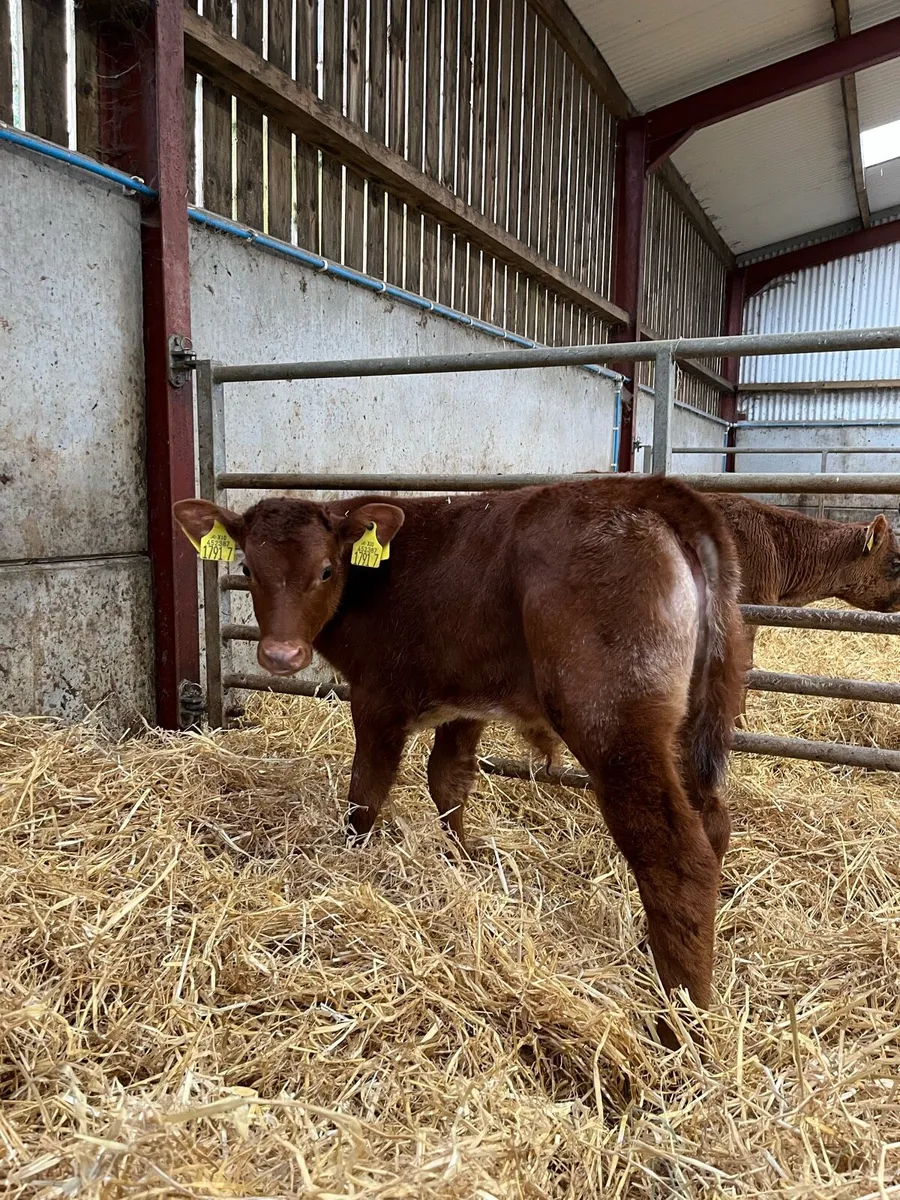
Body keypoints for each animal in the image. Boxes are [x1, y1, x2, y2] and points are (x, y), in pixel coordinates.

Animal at [174, 477, 745, 1029]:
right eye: (247, 567)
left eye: (326, 569)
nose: (280, 655)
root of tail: (649, 492)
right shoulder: (467, 699)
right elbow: (447, 779)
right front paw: (464, 859)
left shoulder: (377, 696)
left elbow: (366, 793)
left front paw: (351, 858)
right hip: (690, 724)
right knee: (714, 823)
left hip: (614, 721)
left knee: (676, 856)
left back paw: (682, 1020)